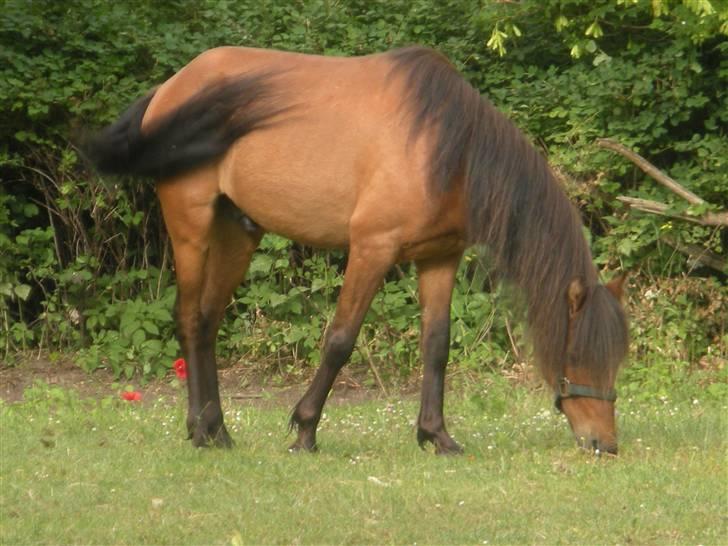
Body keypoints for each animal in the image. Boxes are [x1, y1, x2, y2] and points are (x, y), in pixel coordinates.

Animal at [85, 45, 628, 454]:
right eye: (578, 352)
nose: (603, 444)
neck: (443, 147)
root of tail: (170, 87)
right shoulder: (371, 248)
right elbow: (341, 340)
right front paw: (304, 430)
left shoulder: (439, 258)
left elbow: (436, 346)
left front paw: (436, 436)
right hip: (191, 224)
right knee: (189, 319)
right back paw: (202, 433)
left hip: (238, 231)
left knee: (207, 322)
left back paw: (217, 430)